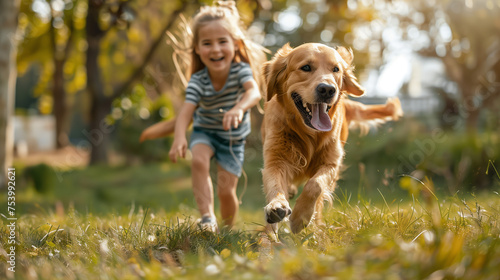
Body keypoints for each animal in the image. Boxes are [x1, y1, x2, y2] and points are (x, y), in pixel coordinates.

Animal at [262, 43, 402, 233]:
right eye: (306, 67)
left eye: (336, 69)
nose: (327, 89)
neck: (308, 134)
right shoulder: (274, 159)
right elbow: (275, 185)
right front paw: (277, 206)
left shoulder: (331, 163)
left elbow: (315, 185)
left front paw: (300, 217)